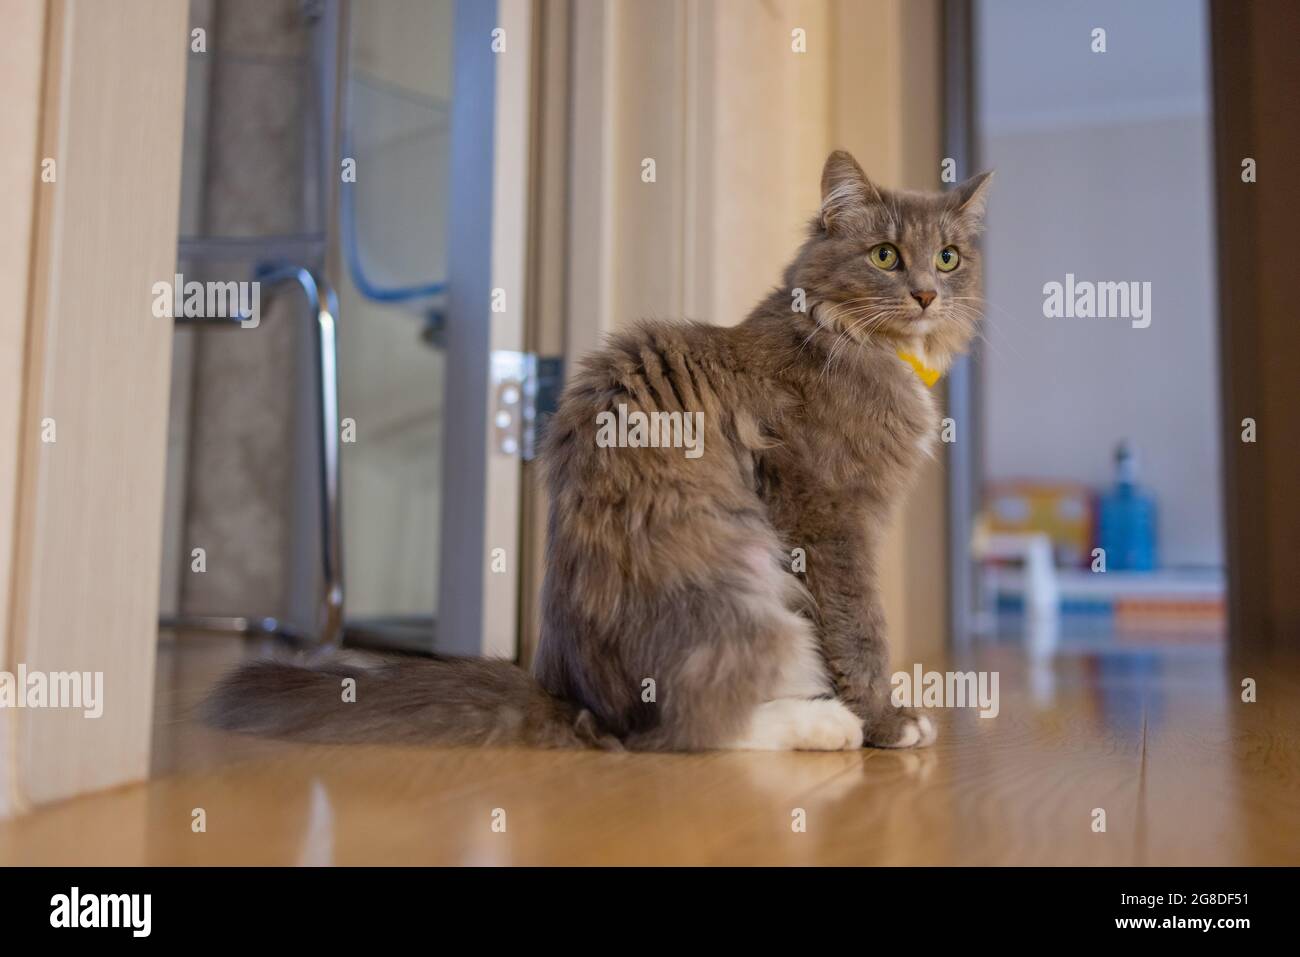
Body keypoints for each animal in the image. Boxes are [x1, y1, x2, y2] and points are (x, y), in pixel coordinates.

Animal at [205, 149, 993, 748]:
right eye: (885, 256)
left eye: (948, 258)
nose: (927, 294)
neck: (847, 341)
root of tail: (573, 695)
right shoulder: (830, 518)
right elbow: (860, 634)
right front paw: (888, 723)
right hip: (745, 582)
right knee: (693, 727)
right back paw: (825, 725)